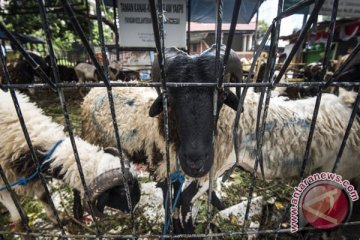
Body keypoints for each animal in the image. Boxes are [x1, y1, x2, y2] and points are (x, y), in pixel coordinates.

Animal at [0, 90, 141, 231]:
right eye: (122, 191)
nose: (135, 207)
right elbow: (17, 210)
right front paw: (22, 226)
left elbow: (44, 196)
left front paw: (57, 218)